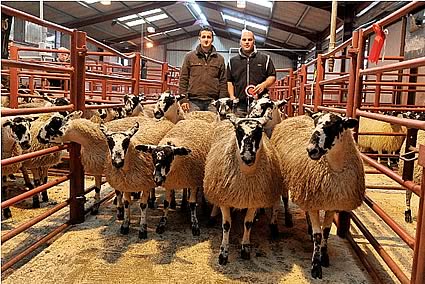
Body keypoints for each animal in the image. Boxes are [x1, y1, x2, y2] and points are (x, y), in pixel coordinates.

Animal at [203, 115, 284, 264]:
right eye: (238, 131)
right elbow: (226, 225)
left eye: (259, 131)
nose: (247, 156)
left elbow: (248, 223)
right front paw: (223, 252)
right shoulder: (225, 198)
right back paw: (212, 216)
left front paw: (245, 249)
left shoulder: (253, 200)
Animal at [272, 111, 364, 280]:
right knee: (283, 199)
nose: (311, 150)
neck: (334, 168)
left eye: (336, 125)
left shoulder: (331, 203)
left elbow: (326, 232)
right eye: (315, 123)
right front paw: (316, 266)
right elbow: (318, 235)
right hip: (282, 175)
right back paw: (282, 222)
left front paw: (325, 256)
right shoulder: (315, 201)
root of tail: (296, 116)